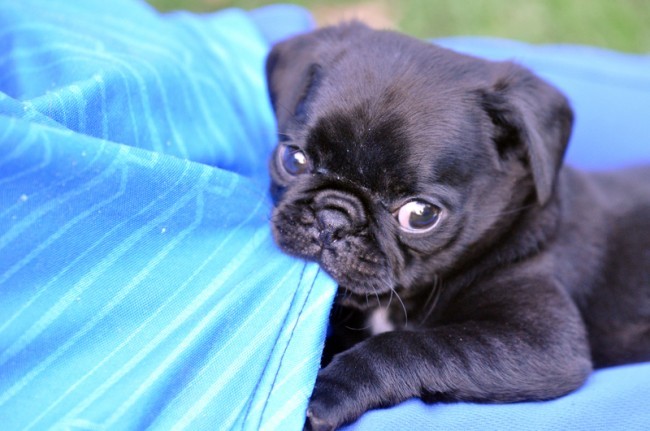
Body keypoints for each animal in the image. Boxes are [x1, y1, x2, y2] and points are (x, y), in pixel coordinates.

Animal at [264, 22, 648, 431]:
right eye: (292, 160)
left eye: (420, 215)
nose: (332, 218)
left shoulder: (544, 341)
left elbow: (413, 346)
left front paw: (329, 390)